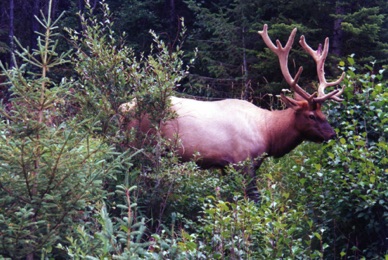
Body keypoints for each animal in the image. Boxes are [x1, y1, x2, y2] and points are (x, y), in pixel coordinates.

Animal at [120, 23, 346, 199]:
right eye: (311, 116)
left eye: (324, 114)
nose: (332, 134)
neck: (269, 134)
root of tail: (123, 107)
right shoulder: (242, 162)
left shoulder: (225, 166)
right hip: (141, 144)